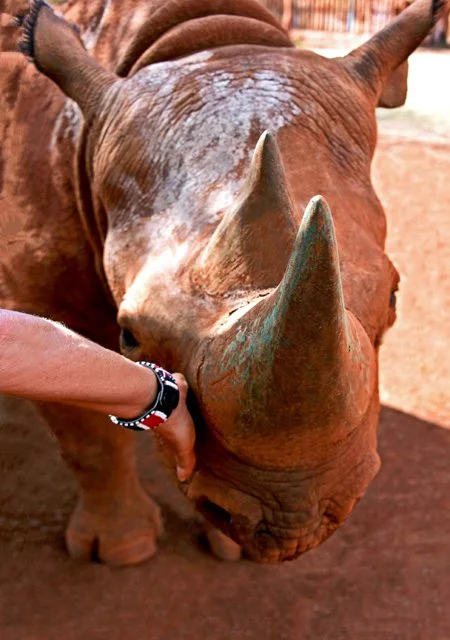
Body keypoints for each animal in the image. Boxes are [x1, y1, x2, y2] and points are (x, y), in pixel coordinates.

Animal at [0, 0, 442, 565]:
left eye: (393, 298)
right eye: (129, 336)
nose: (292, 524)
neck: (208, 34)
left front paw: (229, 549)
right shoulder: (41, 289)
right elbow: (87, 433)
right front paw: (123, 551)